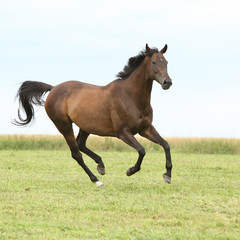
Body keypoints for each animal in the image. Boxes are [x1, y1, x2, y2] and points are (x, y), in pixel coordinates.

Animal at [14, 43, 172, 188]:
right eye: (154, 62)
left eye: (166, 62)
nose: (167, 82)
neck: (130, 97)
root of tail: (53, 89)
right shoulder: (123, 132)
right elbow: (142, 150)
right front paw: (131, 170)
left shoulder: (145, 129)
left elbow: (165, 144)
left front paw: (168, 175)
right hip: (64, 126)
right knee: (76, 154)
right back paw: (96, 180)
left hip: (86, 126)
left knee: (80, 144)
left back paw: (100, 165)